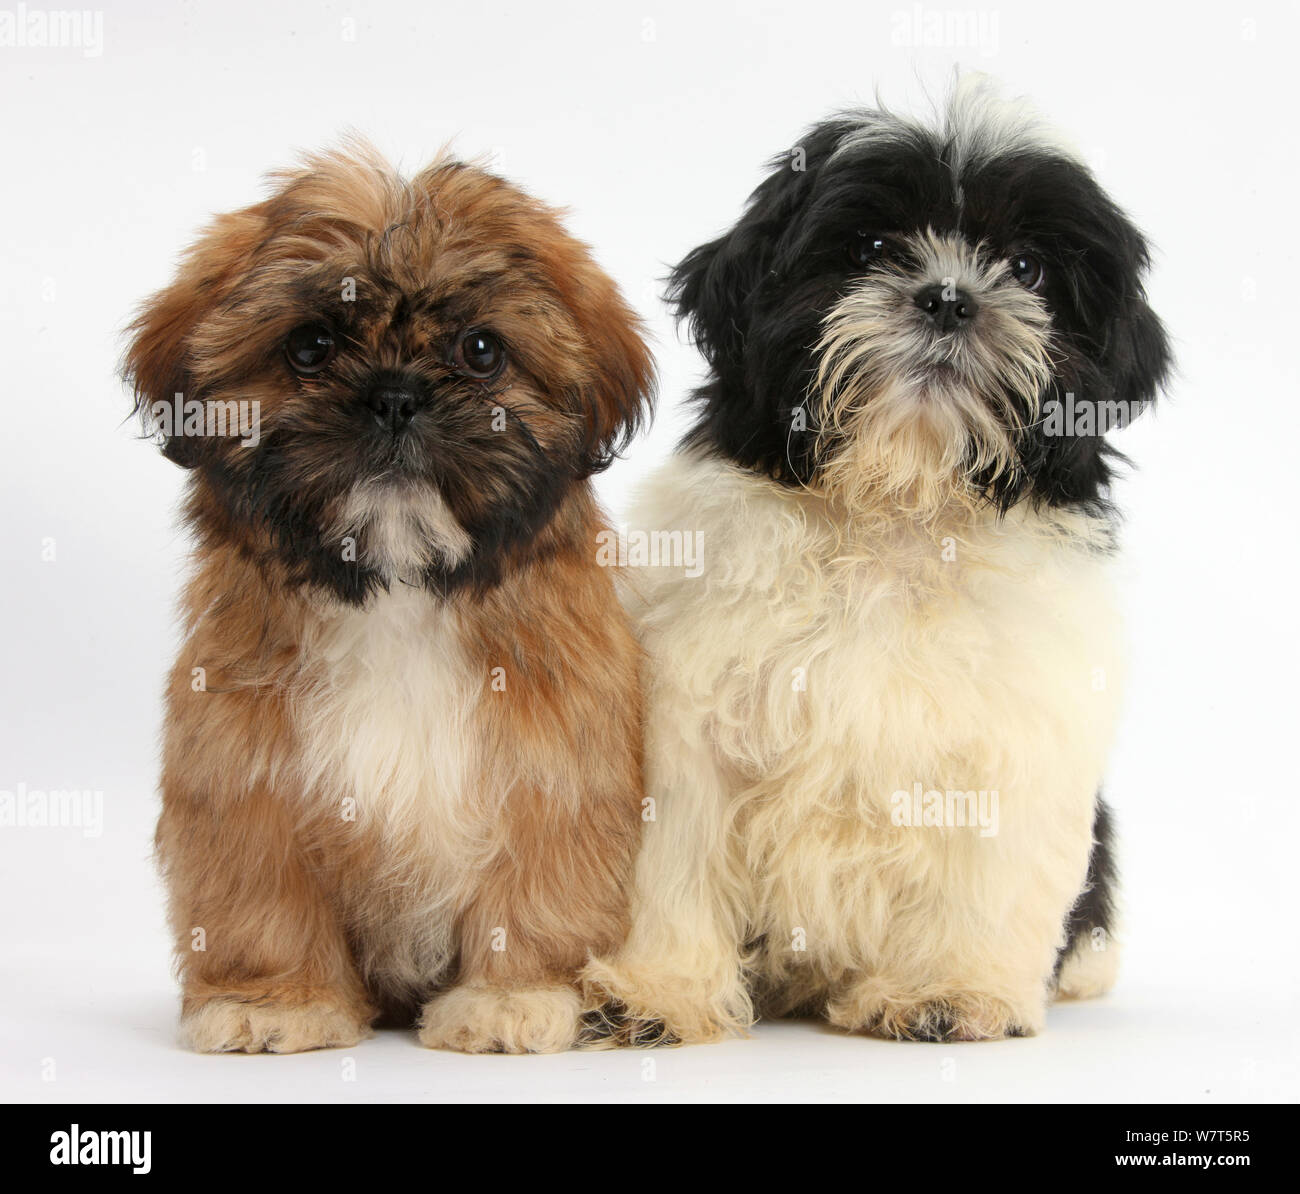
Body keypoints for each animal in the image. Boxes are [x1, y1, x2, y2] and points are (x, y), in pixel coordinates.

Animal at [126, 146, 655, 1056]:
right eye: (310, 346)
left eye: (481, 351)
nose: (396, 394)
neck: (399, 592)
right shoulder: (245, 775)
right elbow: (261, 897)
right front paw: (276, 1002)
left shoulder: (556, 764)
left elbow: (542, 880)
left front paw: (514, 998)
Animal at [585, 79, 1175, 1040]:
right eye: (869, 249)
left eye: (1027, 270)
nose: (948, 298)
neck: (900, 509)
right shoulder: (694, 716)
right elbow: (675, 857)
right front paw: (660, 991)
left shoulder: (1016, 736)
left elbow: (990, 869)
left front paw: (950, 990)